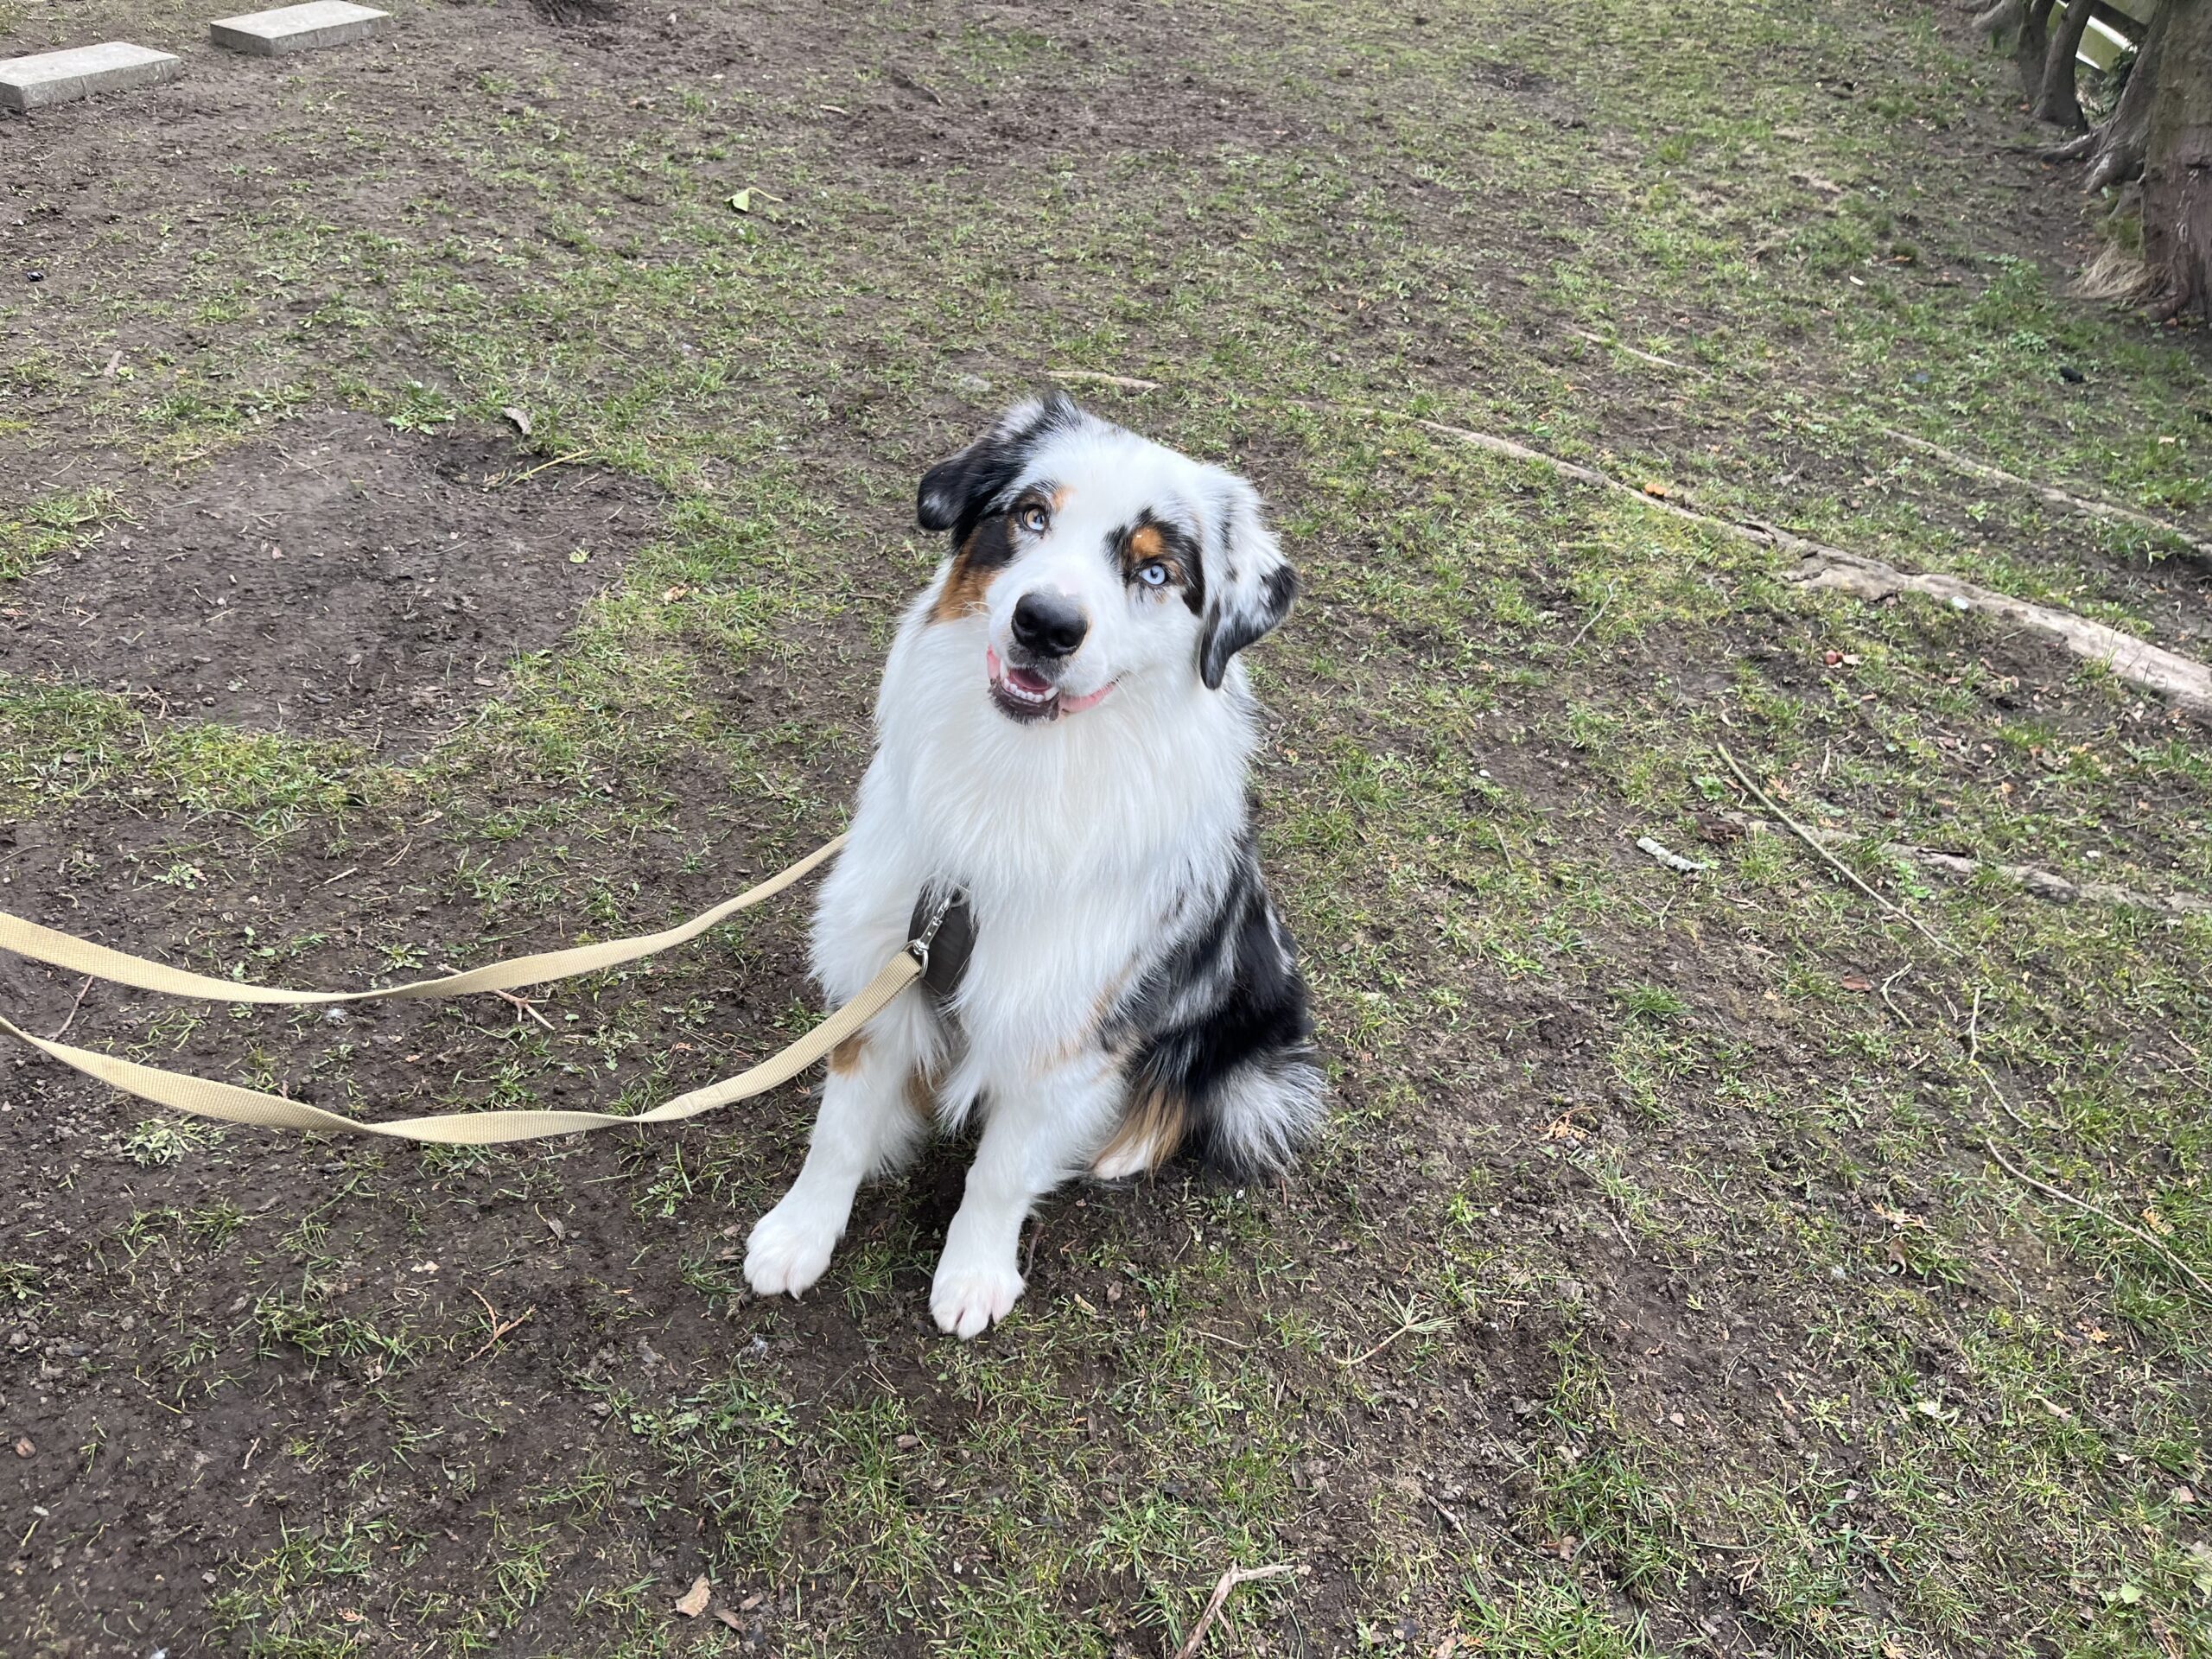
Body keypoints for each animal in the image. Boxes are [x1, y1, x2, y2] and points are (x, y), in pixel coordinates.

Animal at [743, 396, 1327, 1344]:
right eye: (1031, 515)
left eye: (1154, 571)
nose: (1045, 624)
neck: (1016, 778)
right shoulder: (884, 960)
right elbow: (839, 1127)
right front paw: (800, 1234)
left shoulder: (1066, 1028)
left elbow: (1002, 1169)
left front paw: (974, 1275)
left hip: (1249, 1013)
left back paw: (1124, 1143)